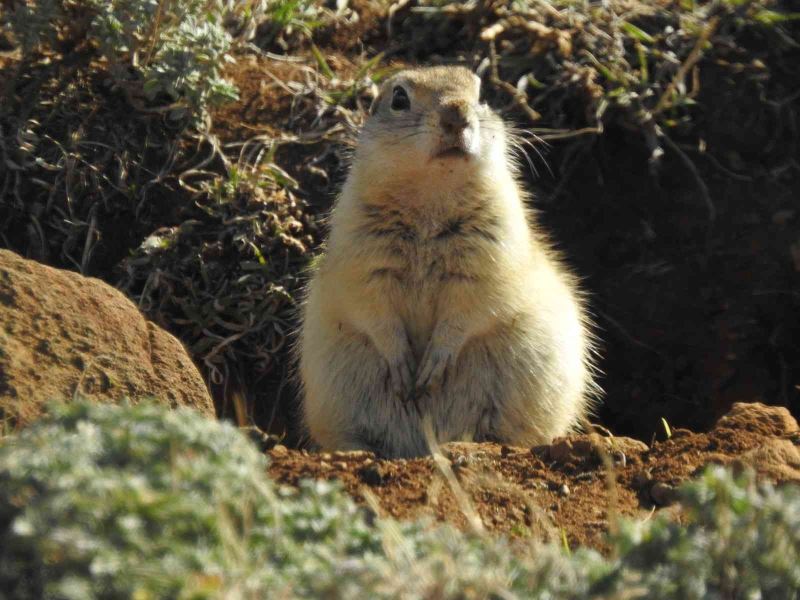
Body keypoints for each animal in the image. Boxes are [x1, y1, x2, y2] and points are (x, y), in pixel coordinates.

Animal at [296, 65, 596, 458]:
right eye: (399, 98)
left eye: (482, 95)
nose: (457, 114)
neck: (433, 193)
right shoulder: (361, 256)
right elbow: (374, 311)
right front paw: (403, 369)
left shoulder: (490, 257)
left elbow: (468, 311)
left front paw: (431, 368)